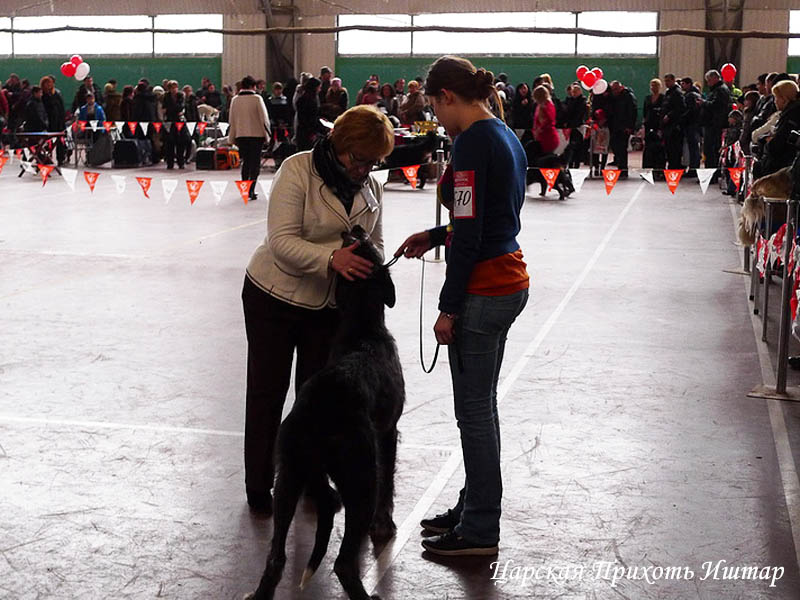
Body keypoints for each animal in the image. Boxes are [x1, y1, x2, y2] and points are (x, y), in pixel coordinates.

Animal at [245, 224, 406, 600]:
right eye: (366, 247)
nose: (356, 227)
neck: (363, 329)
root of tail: (315, 416)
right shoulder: (388, 430)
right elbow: (389, 478)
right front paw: (384, 525)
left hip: (288, 476)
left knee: (276, 558)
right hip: (360, 476)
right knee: (344, 564)